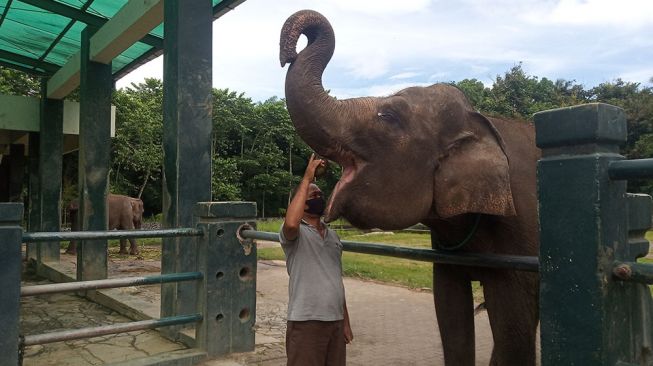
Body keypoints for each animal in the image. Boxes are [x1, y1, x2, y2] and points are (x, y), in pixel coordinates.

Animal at [280, 8, 540, 366]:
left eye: (388, 116)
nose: (287, 54)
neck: (482, 121)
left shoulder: (522, 229)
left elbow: (514, 323)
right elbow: (449, 309)